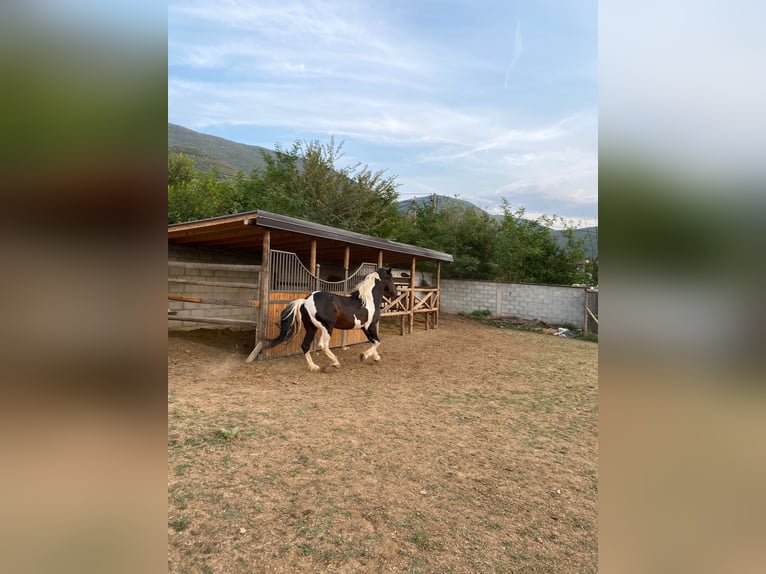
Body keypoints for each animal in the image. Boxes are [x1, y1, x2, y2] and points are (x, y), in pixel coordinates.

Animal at [266, 270, 396, 374]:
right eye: (392, 279)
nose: (395, 293)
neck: (368, 300)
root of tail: (306, 300)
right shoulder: (371, 326)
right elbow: (377, 341)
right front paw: (364, 356)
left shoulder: (364, 327)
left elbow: (373, 341)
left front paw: (375, 357)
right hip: (327, 327)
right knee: (323, 345)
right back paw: (335, 363)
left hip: (311, 328)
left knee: (305, 345)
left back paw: (313, 367)